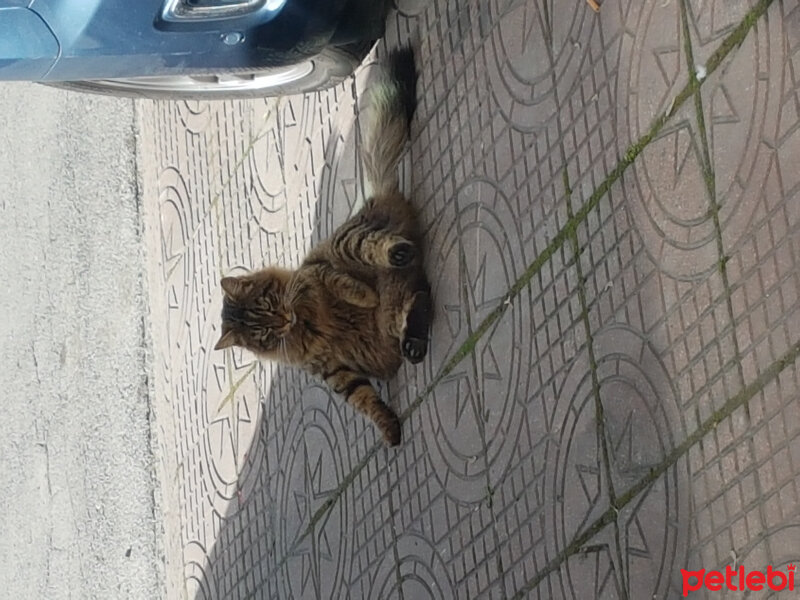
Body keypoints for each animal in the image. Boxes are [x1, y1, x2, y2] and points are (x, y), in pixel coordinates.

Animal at [216, 48, 432, 446]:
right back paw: (413, 341)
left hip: (351, 244)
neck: (303, 323)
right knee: (421, 298)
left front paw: (363, 296)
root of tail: (375, 195)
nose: (284, 320)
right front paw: (389, 430)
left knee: (382, 253)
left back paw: (395, 258)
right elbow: (365, 401)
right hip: (397, 309)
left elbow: (339, 283)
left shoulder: (317, 272)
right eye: (264, 332)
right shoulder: (335, 372)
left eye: (269, 305)